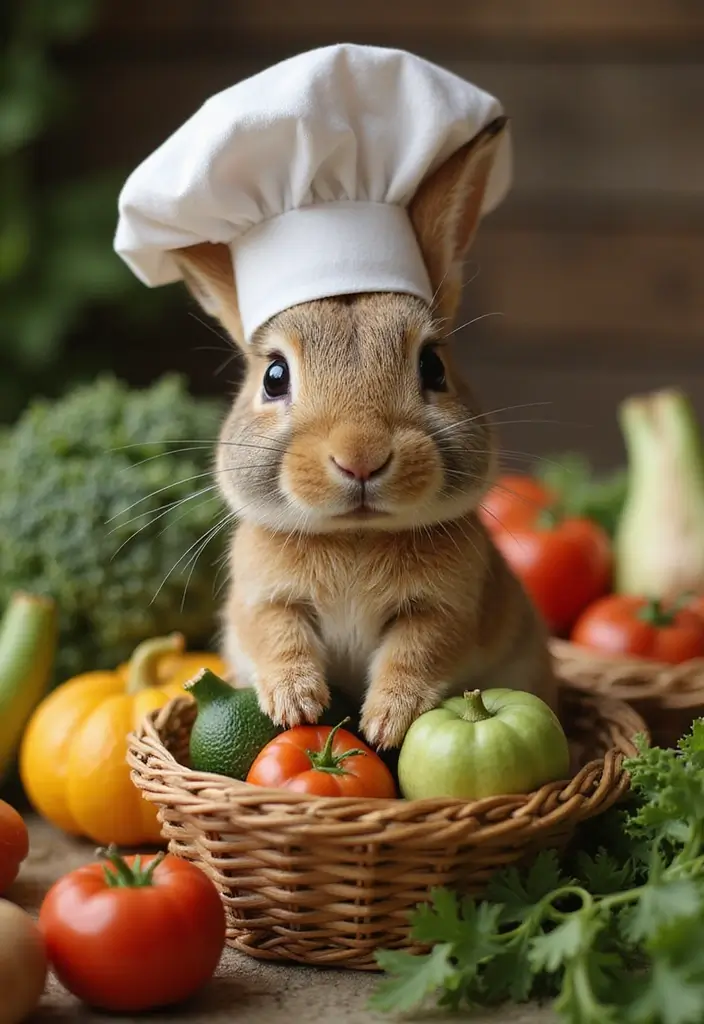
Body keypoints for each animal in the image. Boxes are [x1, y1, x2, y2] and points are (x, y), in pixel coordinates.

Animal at [172, 117, 558, 751]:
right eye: (274, 377)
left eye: (433, 367)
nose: (361, 458)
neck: (354, 536)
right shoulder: (261, 600)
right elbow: (276, 635)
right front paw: (295, 704)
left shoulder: (446, 610)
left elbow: (417, 652)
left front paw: (385, 725)